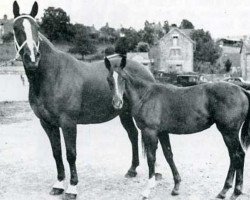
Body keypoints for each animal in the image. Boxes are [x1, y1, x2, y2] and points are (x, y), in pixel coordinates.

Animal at [12, 1, 156, 200]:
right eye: (16, 28)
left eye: (37, 28)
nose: (32, 58)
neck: (52, 75)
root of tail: (145, 69)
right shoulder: (47, 123)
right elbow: (56, 153)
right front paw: (58, 185)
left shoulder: (68, 122)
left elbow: (70, 154)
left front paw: (72, 188)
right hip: (124, 113)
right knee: (133, 135)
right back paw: (132, 170)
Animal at [104, 55, 250, 200]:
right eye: (109, 79)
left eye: (123, 78)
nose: (117, 103)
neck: (145, 96)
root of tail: (242, 90)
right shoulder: (162, 132)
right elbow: (168, 155)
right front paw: (176, 186)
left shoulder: (150, 132)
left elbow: (151, 158)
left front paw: (147, 190)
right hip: (228, 133)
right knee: (235, 156)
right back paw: (225, 191)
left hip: (228, 132)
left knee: (237, 155)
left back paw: (234, 191)